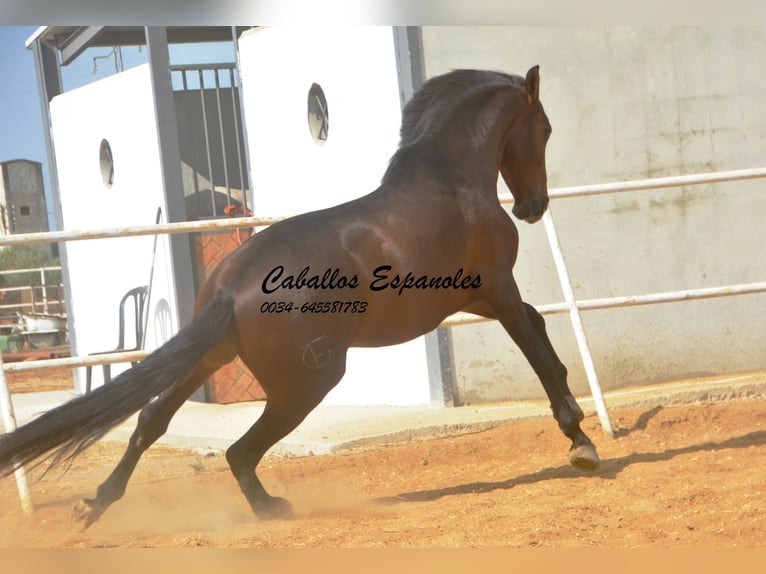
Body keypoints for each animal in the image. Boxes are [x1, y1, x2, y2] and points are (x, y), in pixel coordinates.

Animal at [0, 66, 600, 532]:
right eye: (544, 128)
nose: (532, 207)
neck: (452, 181)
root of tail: (232, 285)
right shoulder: (496, 289)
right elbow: (537, 349)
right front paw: (581, 442)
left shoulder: (474, 299)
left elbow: (539, 330)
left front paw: (579, 434)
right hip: (307, 383)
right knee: (238, 450)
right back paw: (270, 508)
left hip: (211, 359)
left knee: (151, 421)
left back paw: (93, 506)